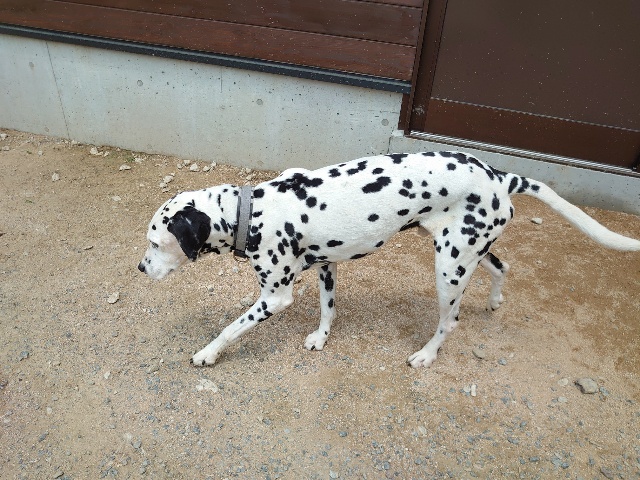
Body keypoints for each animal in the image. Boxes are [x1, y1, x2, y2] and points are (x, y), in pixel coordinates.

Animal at [138, 151, 640, 367]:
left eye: (156, 243)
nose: (141, 268)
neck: (253, 212)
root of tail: (500, 176)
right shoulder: (327, 267)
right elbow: (328, 311)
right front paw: (321, 338)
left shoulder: (274, 298)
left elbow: (230, 328)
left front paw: (207, 353)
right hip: (469, 250)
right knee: (503, 267)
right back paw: (495, 301)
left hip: (448, 271)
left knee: (450, 321)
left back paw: (426, 355)